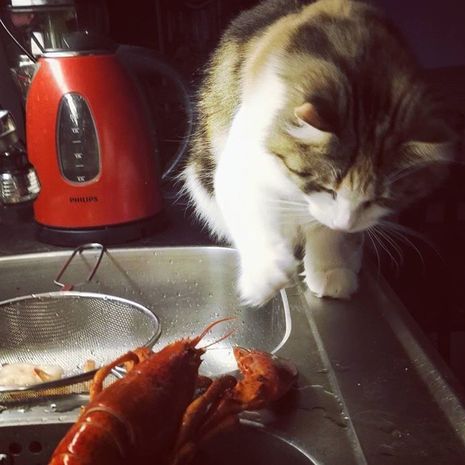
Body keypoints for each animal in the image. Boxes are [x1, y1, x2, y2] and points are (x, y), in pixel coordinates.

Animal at [182, 0, 458, 307]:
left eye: (380, 200)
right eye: (327, 188)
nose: (346, 223)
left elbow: (327, 231)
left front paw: (330, 269)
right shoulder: (244, 164)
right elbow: (255, 217)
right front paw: (266, 274)